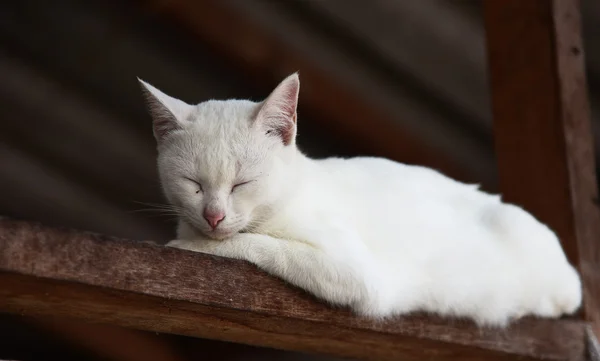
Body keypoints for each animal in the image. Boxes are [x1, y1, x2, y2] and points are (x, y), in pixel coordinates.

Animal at [137, 73, 580, 326]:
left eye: (242, 184)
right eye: (193, 183)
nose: (213, 215)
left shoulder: (358, 275)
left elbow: (257, 244)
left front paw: (190, 245)